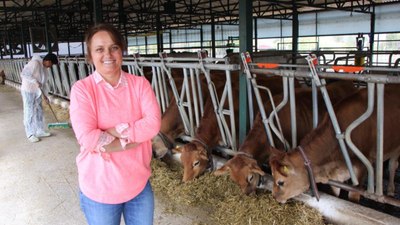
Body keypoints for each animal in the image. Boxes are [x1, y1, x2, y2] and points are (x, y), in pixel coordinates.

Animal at [268, 84, 400, 204]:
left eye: (280, 182)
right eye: (272, 176)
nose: (274, 197)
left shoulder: (361, 170)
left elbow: (353, 197)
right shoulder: (335, 176)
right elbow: (335, 194)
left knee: (393, 164)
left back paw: (390, 190)